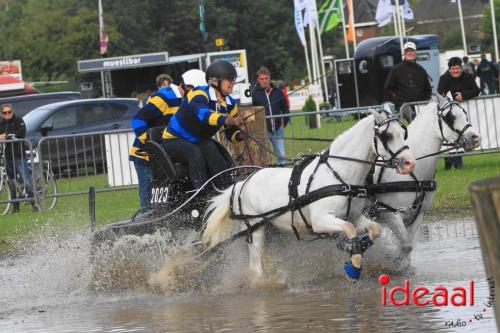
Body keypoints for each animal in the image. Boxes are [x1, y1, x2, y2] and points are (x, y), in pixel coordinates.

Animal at [201, 110, 416, 282]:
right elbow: (349, 229)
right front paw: (354, 265)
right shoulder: (320, 220)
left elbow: (374, 229)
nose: (409, 163)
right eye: (387, 135)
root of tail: (242, 183)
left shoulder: (353, 215)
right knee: (255, 268)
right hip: (255, 229)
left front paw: (355, 247)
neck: (338, 174)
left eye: (403, 133)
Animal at [358, 94, 482, 264]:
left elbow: (407, 245)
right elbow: (405, 244)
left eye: (465, 113)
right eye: (450, 117)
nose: (475, 138)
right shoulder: (390, 213)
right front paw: (393, 263)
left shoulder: (418, 214)